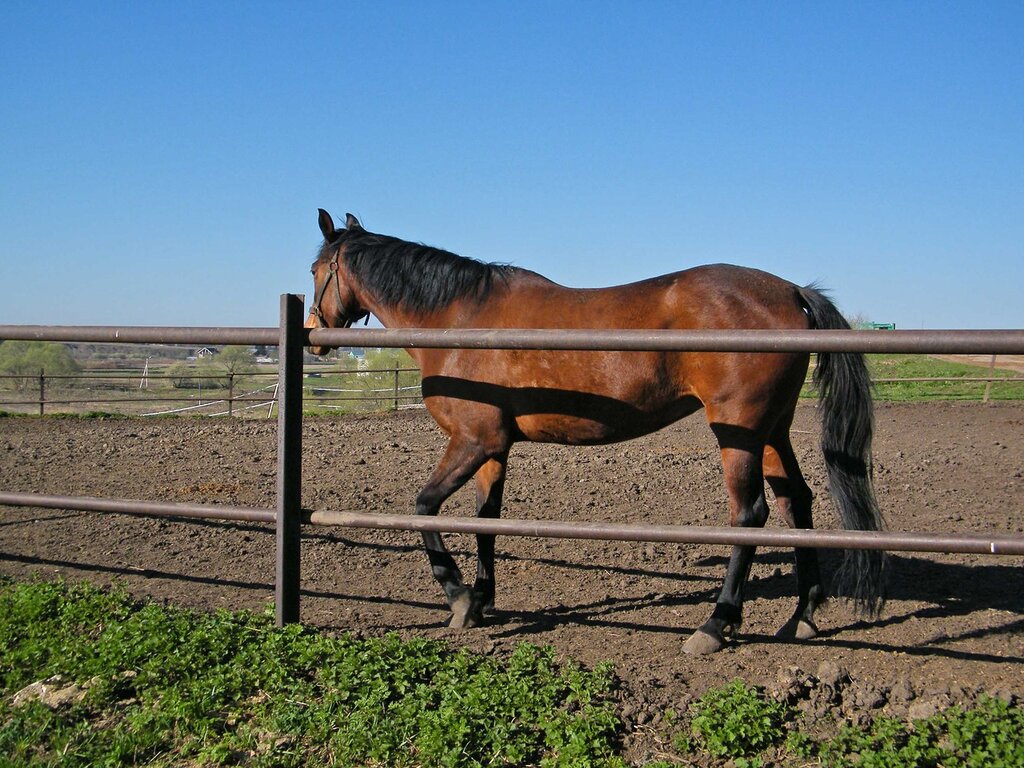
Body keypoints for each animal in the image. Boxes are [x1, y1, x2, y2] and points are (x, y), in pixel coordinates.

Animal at [305, 210, 888, 655]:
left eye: (315, 269)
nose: (316, 334)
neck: (460, 320)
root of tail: (789, 290)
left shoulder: (473, 442)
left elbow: (424, 508)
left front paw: (459, 599)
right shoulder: (494, 449)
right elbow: (487, 521)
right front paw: (483, 599)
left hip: (738, 431)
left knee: (749, 516)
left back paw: (715, 624)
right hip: (772, 429)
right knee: (796, 501)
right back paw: (803, 615)